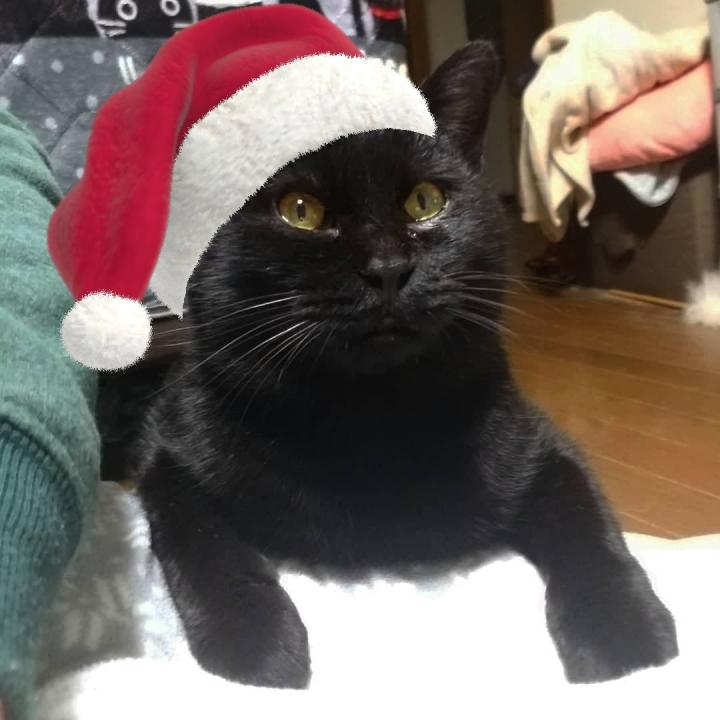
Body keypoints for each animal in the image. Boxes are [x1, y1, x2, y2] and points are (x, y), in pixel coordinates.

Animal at [134, 41, 678, 689]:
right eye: (300, 209)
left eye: (425, 201)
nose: (388, 267)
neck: (370, 418)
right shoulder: (168, 451)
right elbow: (200, 541)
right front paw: (256, 644)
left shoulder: (544, 447)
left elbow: (592, 530)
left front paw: (625, 633)